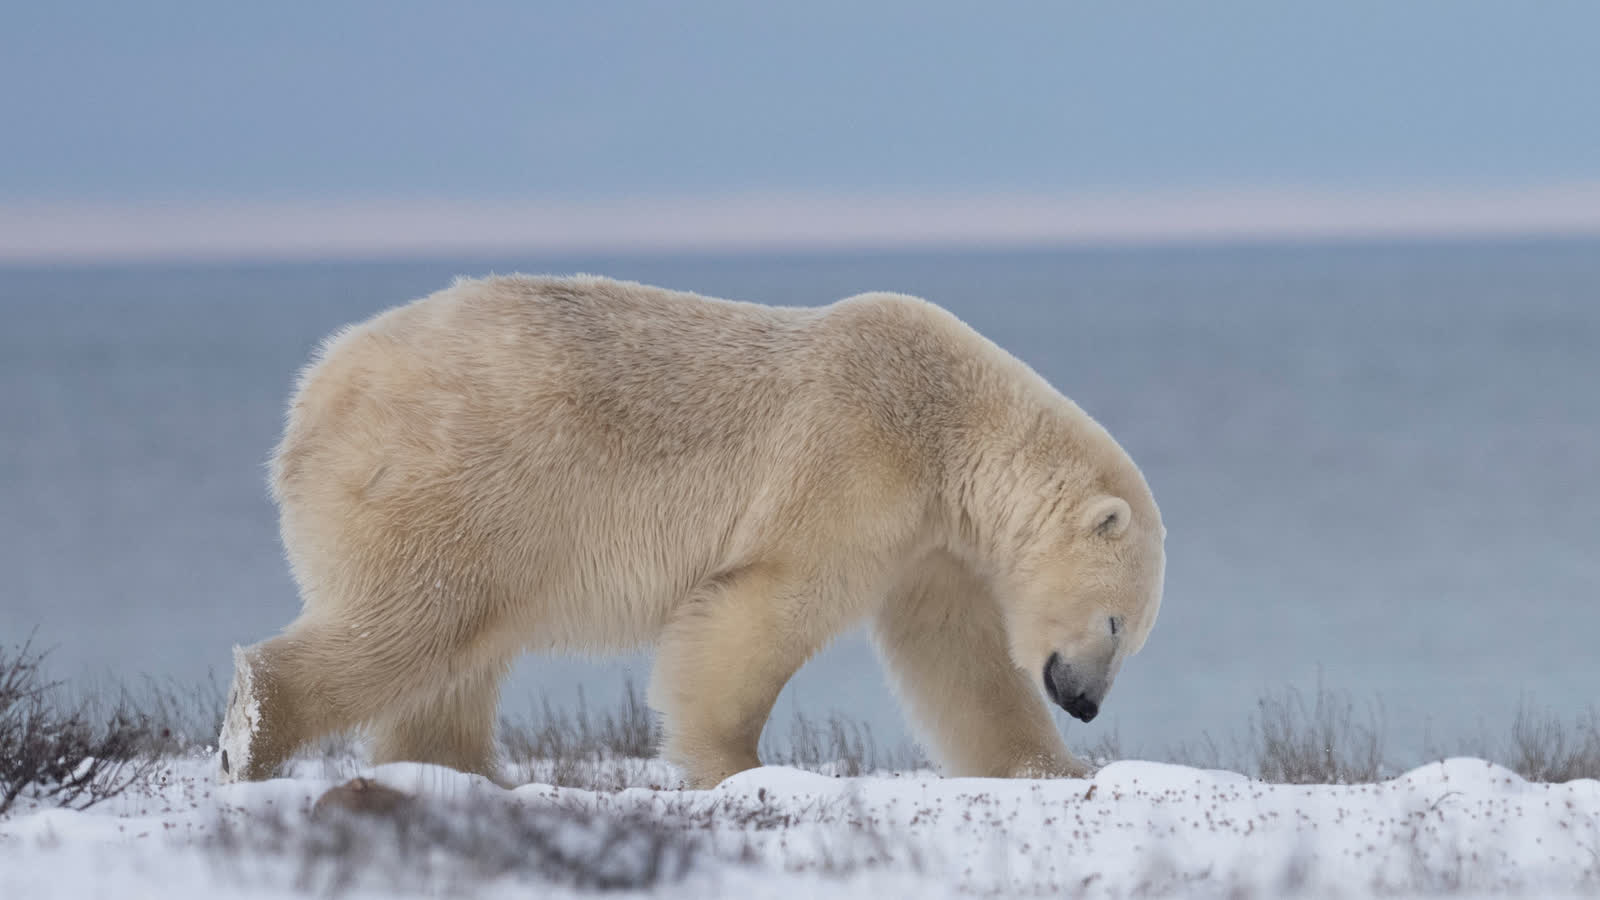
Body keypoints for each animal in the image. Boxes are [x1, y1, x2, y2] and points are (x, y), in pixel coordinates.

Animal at [218, 274, 1165, 789]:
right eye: (1118, 622)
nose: (1085, 703)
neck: (946, 423)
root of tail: (317, 394)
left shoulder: (931, 542)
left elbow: (962, 660)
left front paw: (1054, 771)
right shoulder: (853, 459)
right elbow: (766, 603)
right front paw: (736, 764)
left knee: (453, 653)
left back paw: (467, 773)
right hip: (453, 481)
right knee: (412, 622)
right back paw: (250, 733)